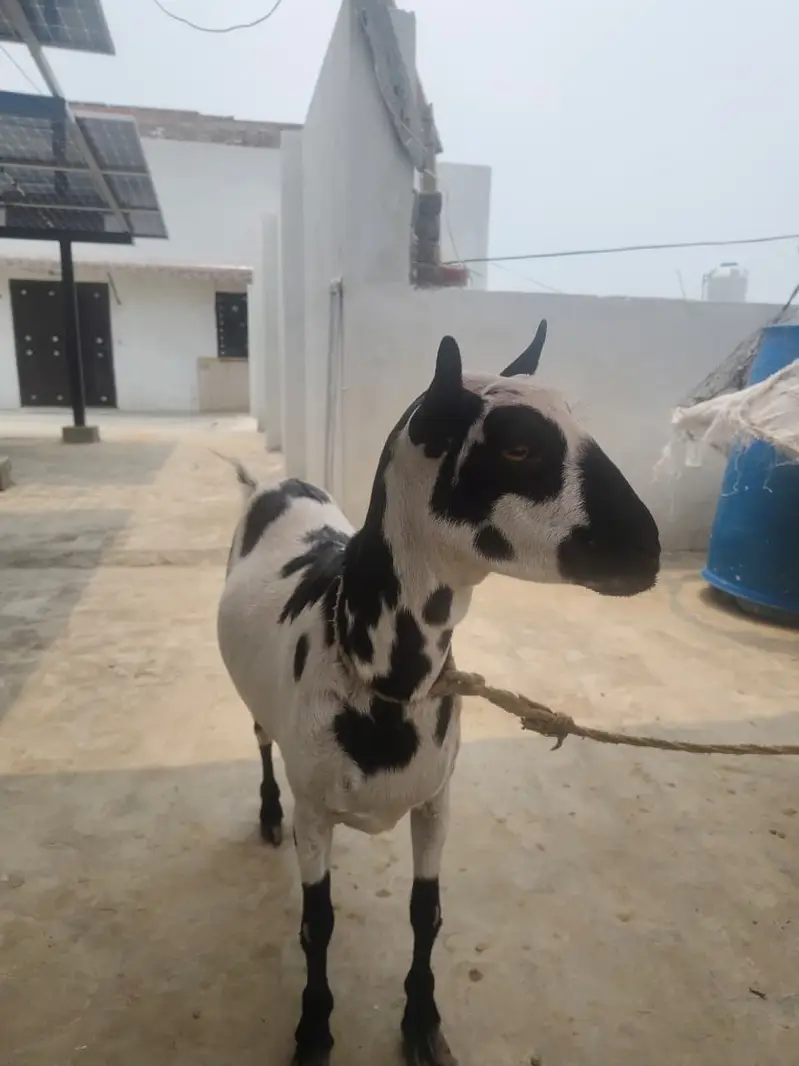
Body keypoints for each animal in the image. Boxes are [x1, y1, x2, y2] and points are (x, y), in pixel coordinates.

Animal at [217, 321, 661, 1066]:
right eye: (517, 445)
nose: (647, 548)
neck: (375, 670)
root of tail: (275, 483)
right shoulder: (317, 808)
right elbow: (317, 922)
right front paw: (313, 1031)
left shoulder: (435, 799)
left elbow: (426, 911)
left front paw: (422, 1022)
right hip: (256, 710)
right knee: (258, 740)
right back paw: (268, 814)